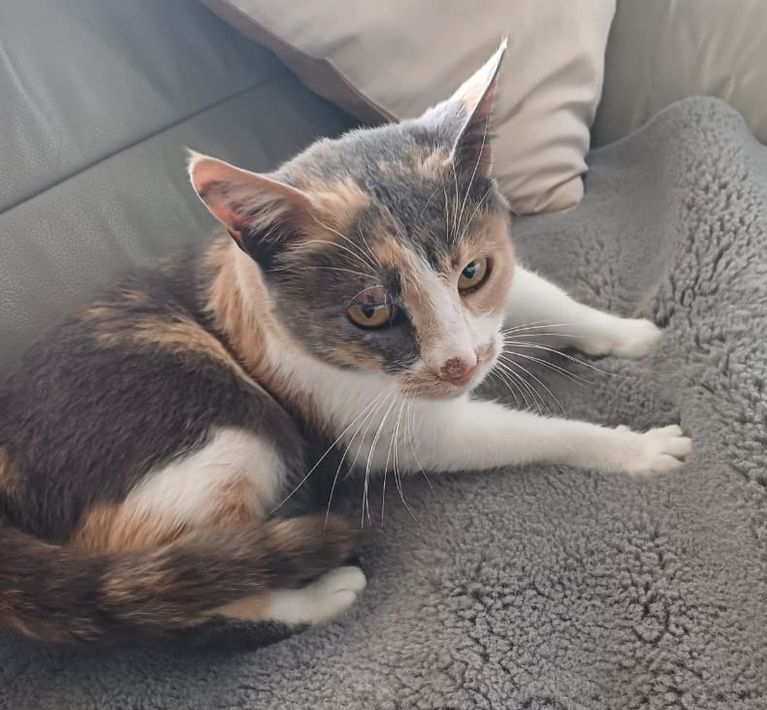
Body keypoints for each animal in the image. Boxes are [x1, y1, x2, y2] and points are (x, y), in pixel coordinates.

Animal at [0, 42, 690, 642]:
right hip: (220, 425)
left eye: (473, 272)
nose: (461, 364)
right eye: (369, 311)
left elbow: (546, 298)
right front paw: (634, 448)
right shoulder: (386, 423)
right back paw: (321, 594)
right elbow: (523, 435)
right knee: (193, 595)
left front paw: (630, 332)